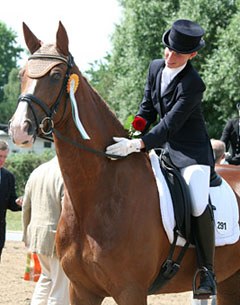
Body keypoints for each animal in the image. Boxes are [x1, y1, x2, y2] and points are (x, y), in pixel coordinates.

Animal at [8, 22, 240, 304]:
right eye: (22, 73)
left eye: (55, 75)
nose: (18, 129)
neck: (97, 194)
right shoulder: (81, 290)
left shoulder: (131, 291)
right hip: (230, 280)